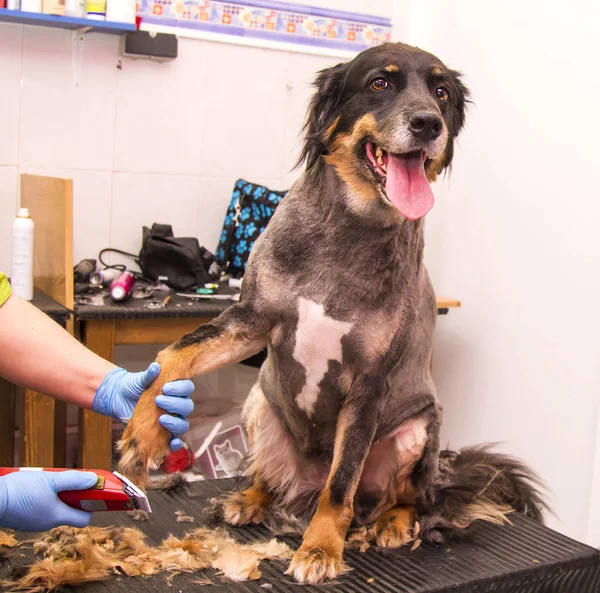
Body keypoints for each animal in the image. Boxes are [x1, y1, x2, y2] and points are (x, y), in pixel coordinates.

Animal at [117, 41, 544, 584]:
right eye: (380, 83)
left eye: (441, 92)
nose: (429, 124)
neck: (349, 230)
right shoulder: (251, 320)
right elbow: (173, 355)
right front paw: (142, 433)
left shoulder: (369, 384)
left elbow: (340, 484)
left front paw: (320, 548)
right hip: (259, 403)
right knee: (268, 475)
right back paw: (251, 497)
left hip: (419, 431)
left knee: (409, 498)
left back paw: (391, 523)